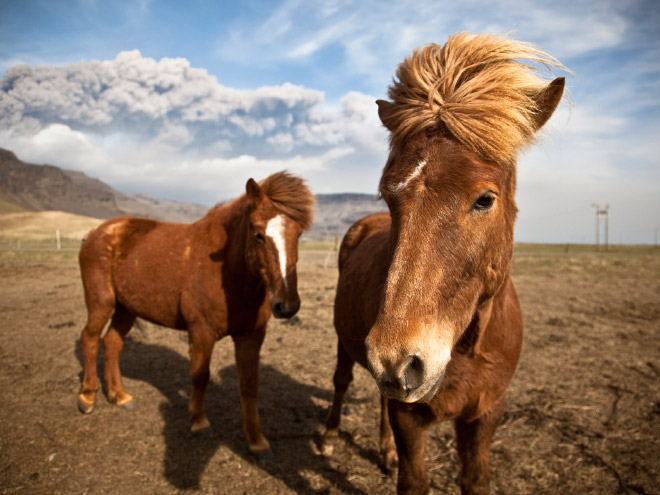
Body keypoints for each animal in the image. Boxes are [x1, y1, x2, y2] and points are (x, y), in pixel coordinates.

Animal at [77, 172, 314, 460]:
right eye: (258, 234)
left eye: (298, 233)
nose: (287, 305)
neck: (228, 272)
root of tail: (95, 233)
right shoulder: (201, 332)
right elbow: (200, 377)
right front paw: (199, 422)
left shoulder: (251, 335)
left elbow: (249, 385)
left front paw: (257, 442)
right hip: (102, 303)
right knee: (90, 339)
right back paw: (88, 397)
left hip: (126, 309)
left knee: (112, 342)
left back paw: (120, 396)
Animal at [320, 33, 568, 494]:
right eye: (389, 194)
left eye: (485, 199)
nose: (397, 360)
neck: (467, 347)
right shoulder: (410, 418)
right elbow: (414, 480)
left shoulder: (486, 414)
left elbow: (474, 480)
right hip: (347, 342)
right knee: (342, 380)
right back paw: (328, 438)